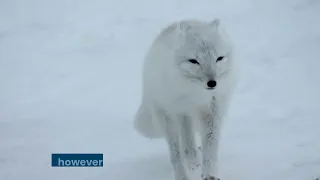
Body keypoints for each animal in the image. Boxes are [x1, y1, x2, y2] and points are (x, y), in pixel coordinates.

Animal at [133, 18, 238, 180]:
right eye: (194, 61)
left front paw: (210, 174)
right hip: (174, 113)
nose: (212, 83)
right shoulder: (169, 112)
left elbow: (211, 147)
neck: (194, 93)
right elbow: (176, 153)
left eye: (219, 59)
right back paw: (192, 161)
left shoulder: (211, 111)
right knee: (186, 145)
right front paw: (183, 175)